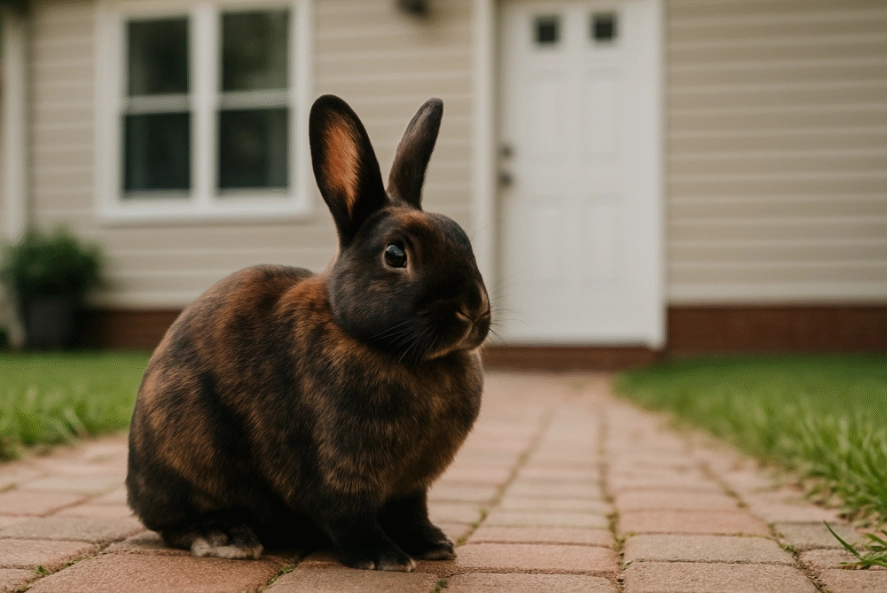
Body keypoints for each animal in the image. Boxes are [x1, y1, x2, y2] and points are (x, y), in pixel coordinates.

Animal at [126, 95, 491, 572]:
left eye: (463, 240)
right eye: (396, 254)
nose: (474, 307)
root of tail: (135, 485)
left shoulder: (411, 486)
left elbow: (413, 513)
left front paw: (432, 544)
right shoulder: (336, 472)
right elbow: (349, 516)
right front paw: (384, 558)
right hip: (185, 455)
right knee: (177, 523)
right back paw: (226, 537)